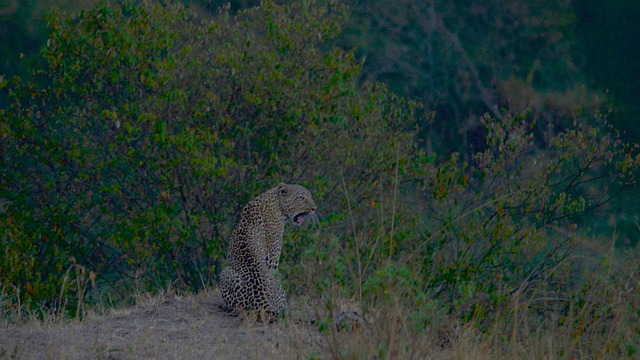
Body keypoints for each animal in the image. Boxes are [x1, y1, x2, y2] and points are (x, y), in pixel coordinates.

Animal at [220, 183, 318, 318]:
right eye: (301, 198)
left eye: (309, 196)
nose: (315, 208)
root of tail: (260, 300)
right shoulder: (273, 258)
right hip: (225, 272)